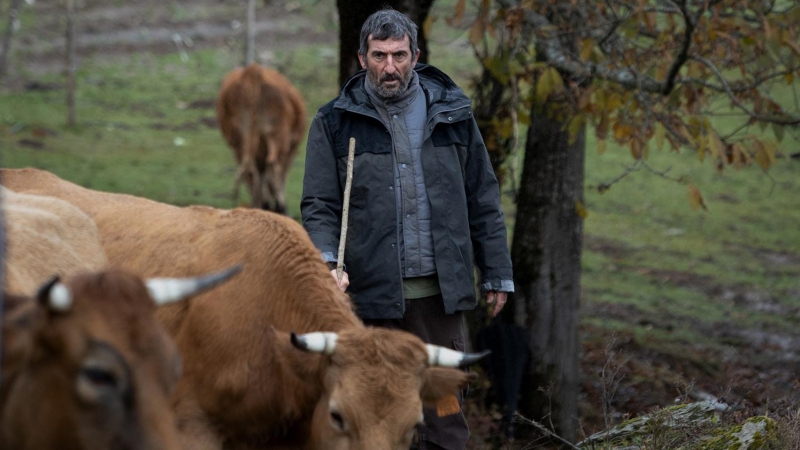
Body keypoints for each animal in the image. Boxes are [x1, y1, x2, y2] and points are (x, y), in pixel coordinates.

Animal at [216, 62, 306, 214]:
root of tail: (252, 71)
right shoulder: (291, 149)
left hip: (240, 141)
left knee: (250, 170)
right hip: (277, 136)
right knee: (273, 165)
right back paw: (279, 207)